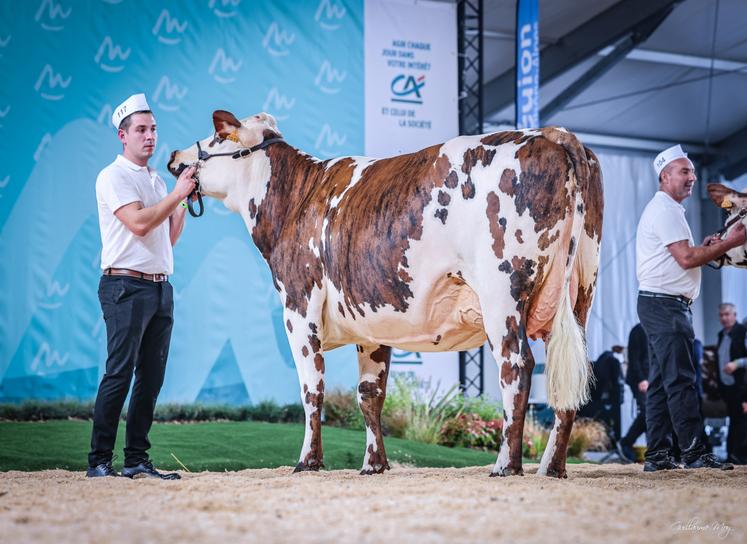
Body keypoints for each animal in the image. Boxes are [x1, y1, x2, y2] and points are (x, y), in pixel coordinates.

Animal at [168, 110, 600, 476]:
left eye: (216, 136)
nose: (173, 154)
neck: (295, 199)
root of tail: (554, 134)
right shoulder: (372, 325)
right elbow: (369, 394)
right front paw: (374, 464)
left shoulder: (299, 306)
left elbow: (312, 388)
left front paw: (308, 461)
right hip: (581, 291)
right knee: (571, 380)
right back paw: (552, 467)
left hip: (502, 292)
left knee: (517, 366)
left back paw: (506, 465)